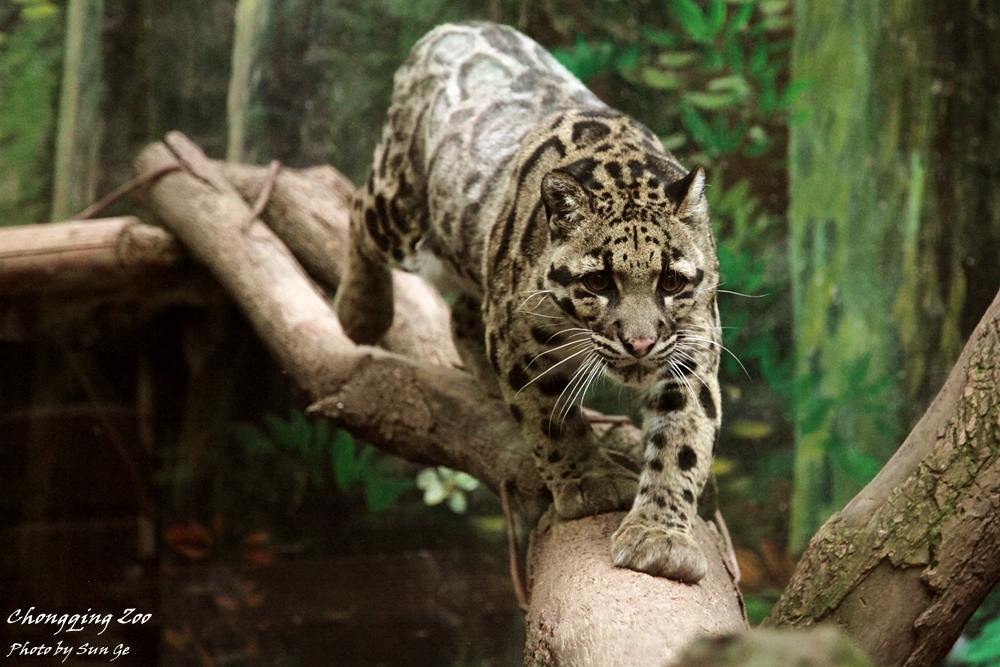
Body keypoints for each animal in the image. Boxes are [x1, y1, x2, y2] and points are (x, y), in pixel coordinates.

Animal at [334, 21, 722, 584]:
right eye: (599, 282)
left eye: (670, 282)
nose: (640, 343)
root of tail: (455, 26)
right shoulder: (521, 339)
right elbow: (551, 417)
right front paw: (588, 481)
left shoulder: (692, 349)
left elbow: (683, 441)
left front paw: (660, 535)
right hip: (401, 210)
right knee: (357, 208)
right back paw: (361, 312)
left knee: (464, 311)